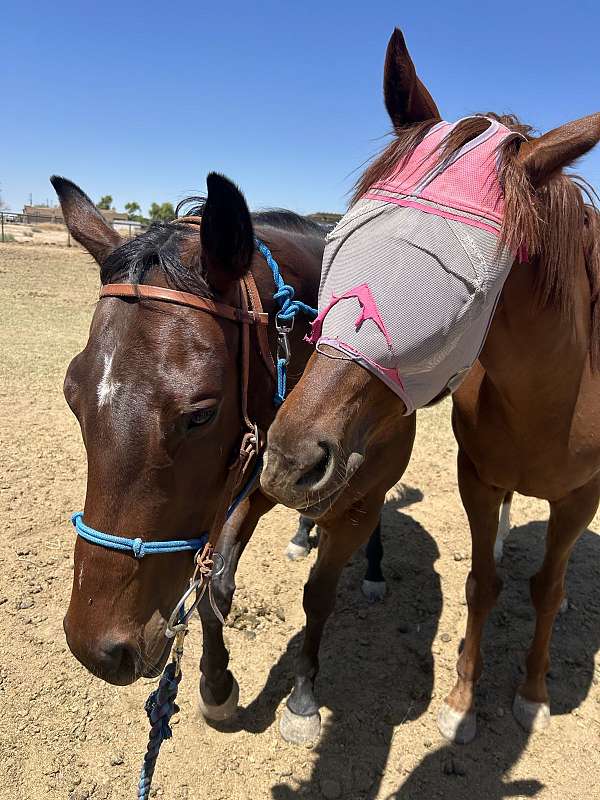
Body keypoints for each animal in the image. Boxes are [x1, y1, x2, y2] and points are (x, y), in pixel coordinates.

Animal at [54, 172, 385, 725]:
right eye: (70, 394)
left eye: (201, 414)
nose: (97, 649)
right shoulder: (244, 484)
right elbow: (214, 586)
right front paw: (215, 684)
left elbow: (318, 596)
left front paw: (302, 696)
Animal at [261, 26, 600, 746]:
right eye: (336, 240)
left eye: (464, 291)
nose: (290, 460)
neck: (552, 397)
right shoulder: (478, 477)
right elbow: (482, 583)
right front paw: (463, 702)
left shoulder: (581, 496)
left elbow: (546, 589)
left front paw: (531, 693)